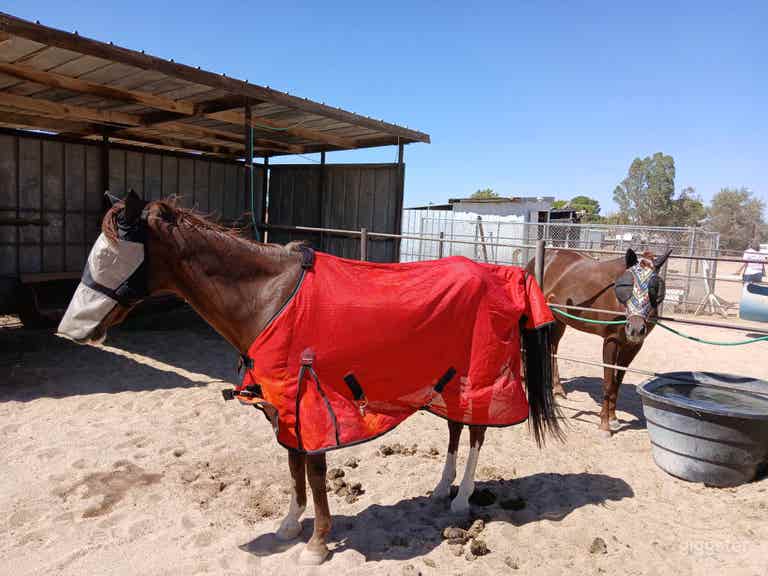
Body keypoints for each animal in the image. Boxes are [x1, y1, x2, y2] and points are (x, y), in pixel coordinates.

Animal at [57, 191, 563, 565]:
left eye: (112, 256)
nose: (69, 331)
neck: (270, 298)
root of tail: (503, 273)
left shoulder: (314, 400)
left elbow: (315, 472)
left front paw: (317, 544)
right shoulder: (284, 404)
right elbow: (293, 466)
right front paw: (288, 526)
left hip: (479, 376)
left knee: (477, 430)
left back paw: (460, 503)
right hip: (448, 380)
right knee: (457, 427)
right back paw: (442, 490)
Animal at [526, 247, 671, 436]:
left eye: (655, 288)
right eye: (627, 285)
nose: (635, 329)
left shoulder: (633, 346)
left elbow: (617, 383)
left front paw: (613, 419)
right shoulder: (611, 341)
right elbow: (608, 383)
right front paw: (604, 425)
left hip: (559, 321)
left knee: (553, 349)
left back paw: (558, 390)